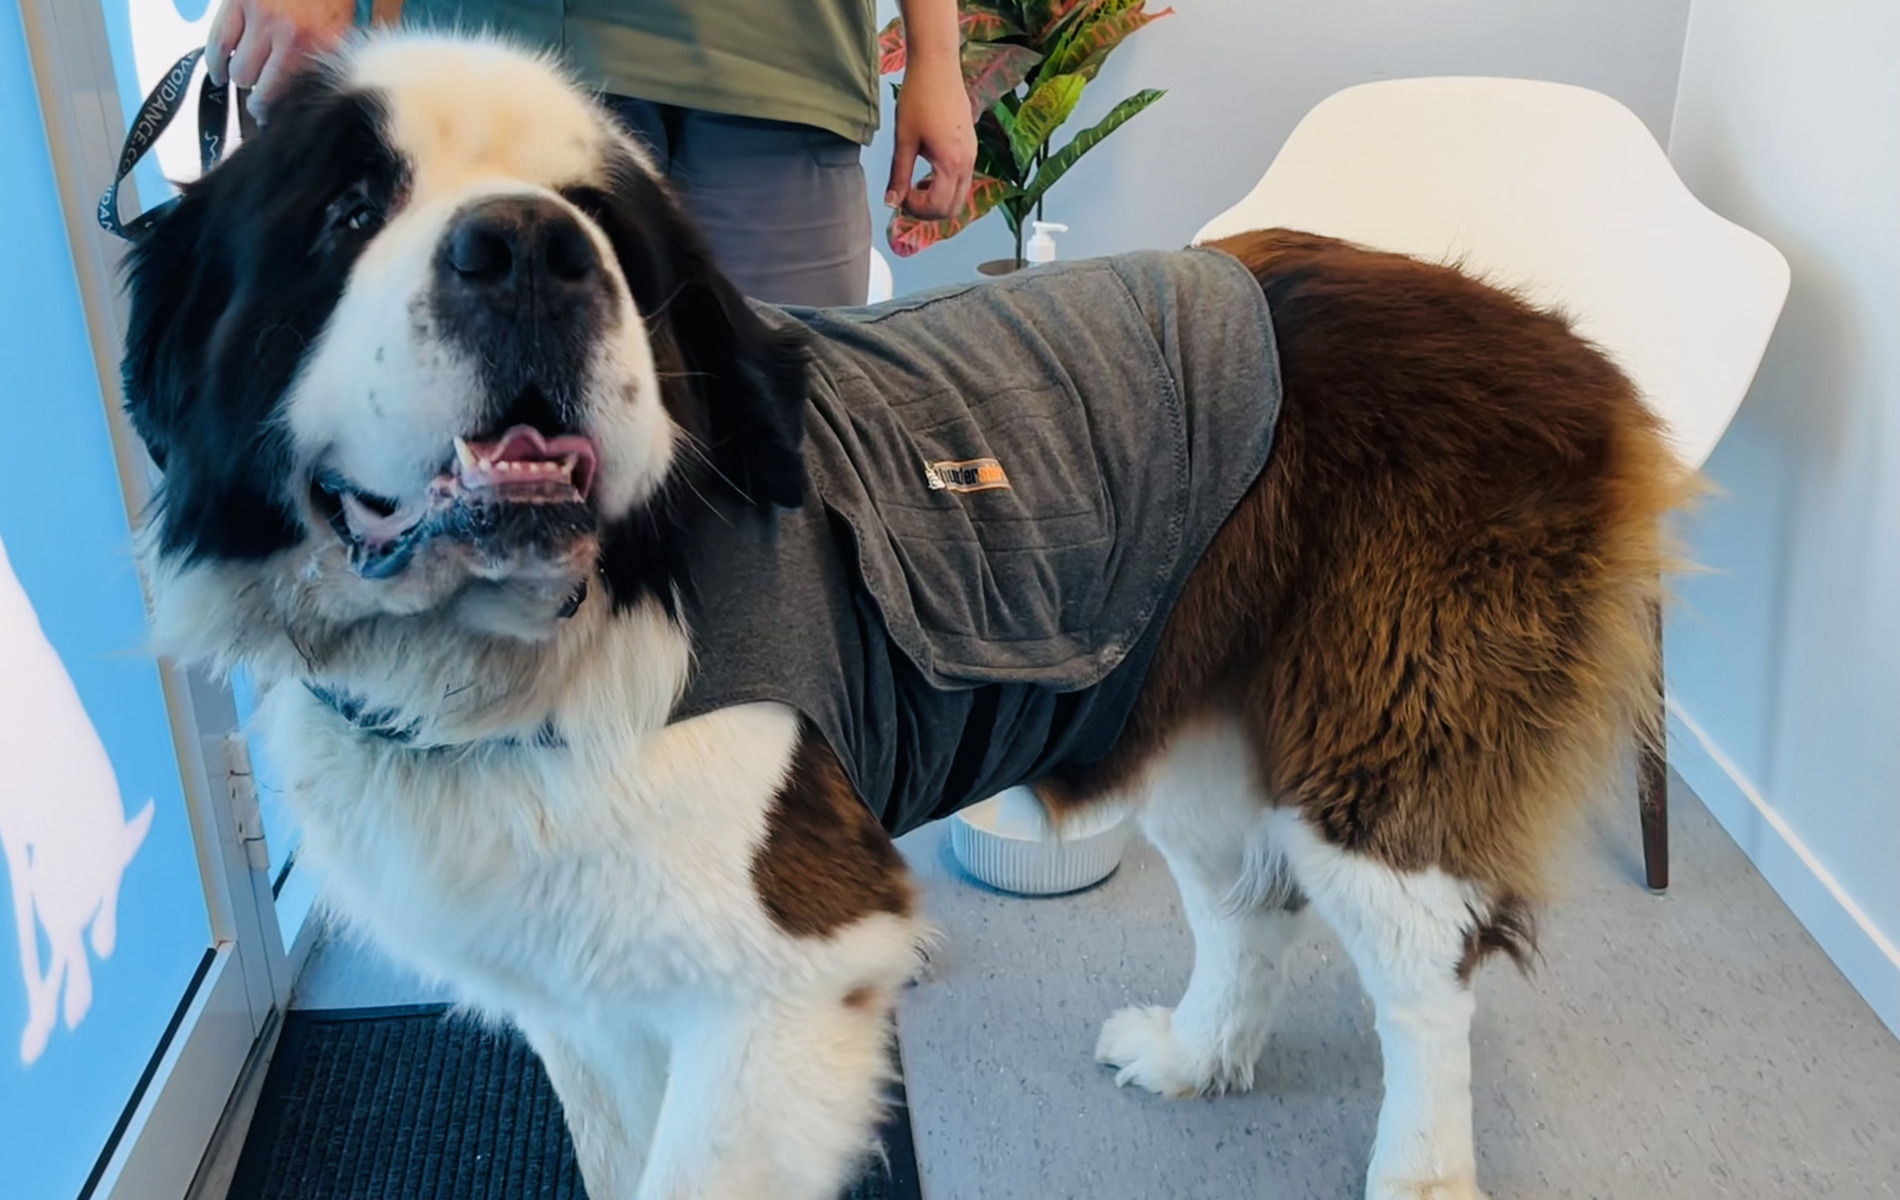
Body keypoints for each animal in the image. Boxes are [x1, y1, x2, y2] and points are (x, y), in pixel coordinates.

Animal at [118, 28, 1687, 1200]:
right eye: (344, 214)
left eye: (607, 230)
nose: (528, 249)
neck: (527, 647)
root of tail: (1567, 348)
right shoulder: (588, 985)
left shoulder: (787, 975)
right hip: (1191, 705)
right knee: (1249, 896)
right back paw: (1194, 1054)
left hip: (1384, 729)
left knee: (1422, 977)